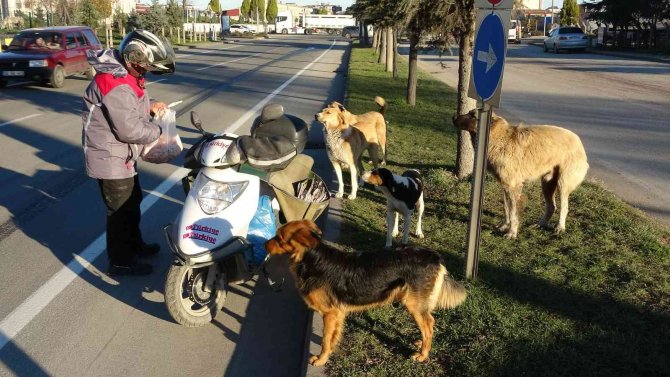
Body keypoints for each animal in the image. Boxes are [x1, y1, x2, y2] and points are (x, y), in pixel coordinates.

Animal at [264, 220, 468, 364]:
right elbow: (333, 338)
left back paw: (423, 355)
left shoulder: (330, 314)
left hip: (413, 304)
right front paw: (328, 354)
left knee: (429, 324)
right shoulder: (338, 315)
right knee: (428, 325)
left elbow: (324, 340)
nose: (264, 244)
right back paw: (421, 343)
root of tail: (434, 256)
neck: (312, 259)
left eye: (279, 238)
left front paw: (321, 359)